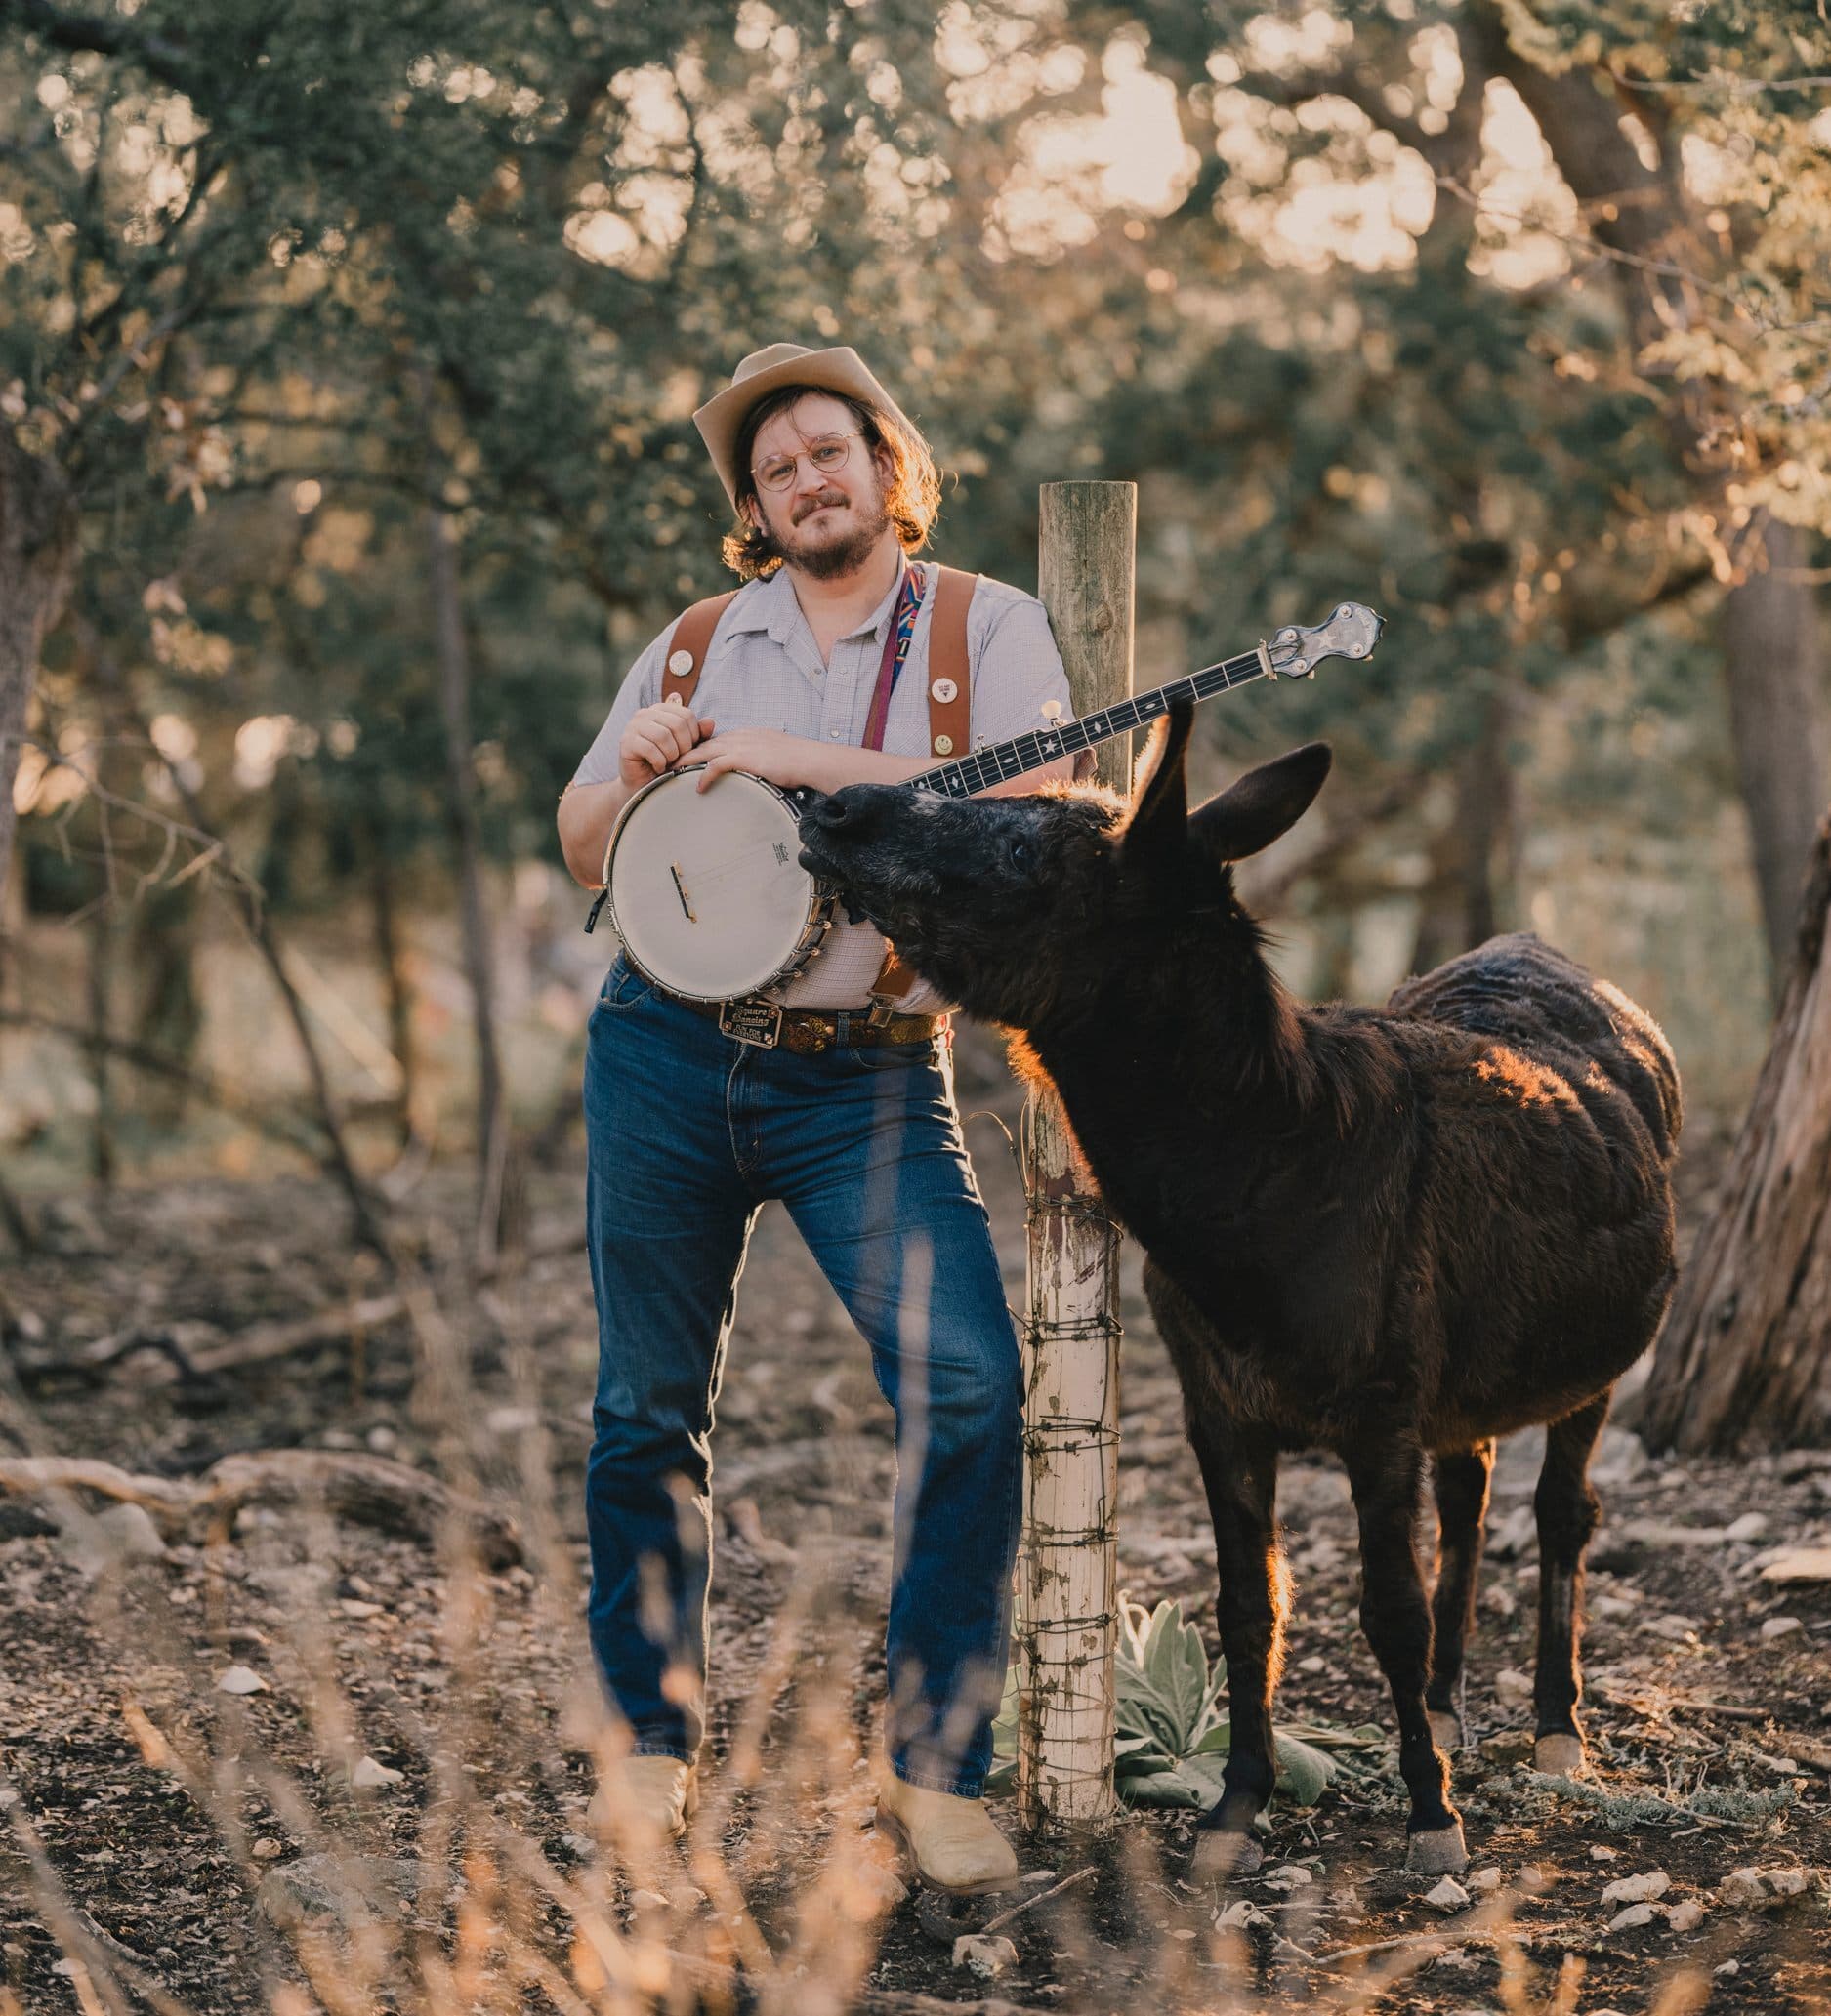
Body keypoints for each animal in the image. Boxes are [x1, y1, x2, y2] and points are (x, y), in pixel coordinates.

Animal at [796, 700, 1681, 1877]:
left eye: (1029, 852)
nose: (832, 806)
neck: (1264, 1188)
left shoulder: (1379, 1414)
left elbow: (1386, 1612)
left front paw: (1430, 1816)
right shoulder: (1220, 1408)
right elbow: (1247, 1604)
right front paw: (1235, 1805)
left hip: (1591, 1373)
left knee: (1560, 1512)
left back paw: (1553, 1728)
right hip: (1469, 1384)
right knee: (1473, 1493)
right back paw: (1450, 1709)